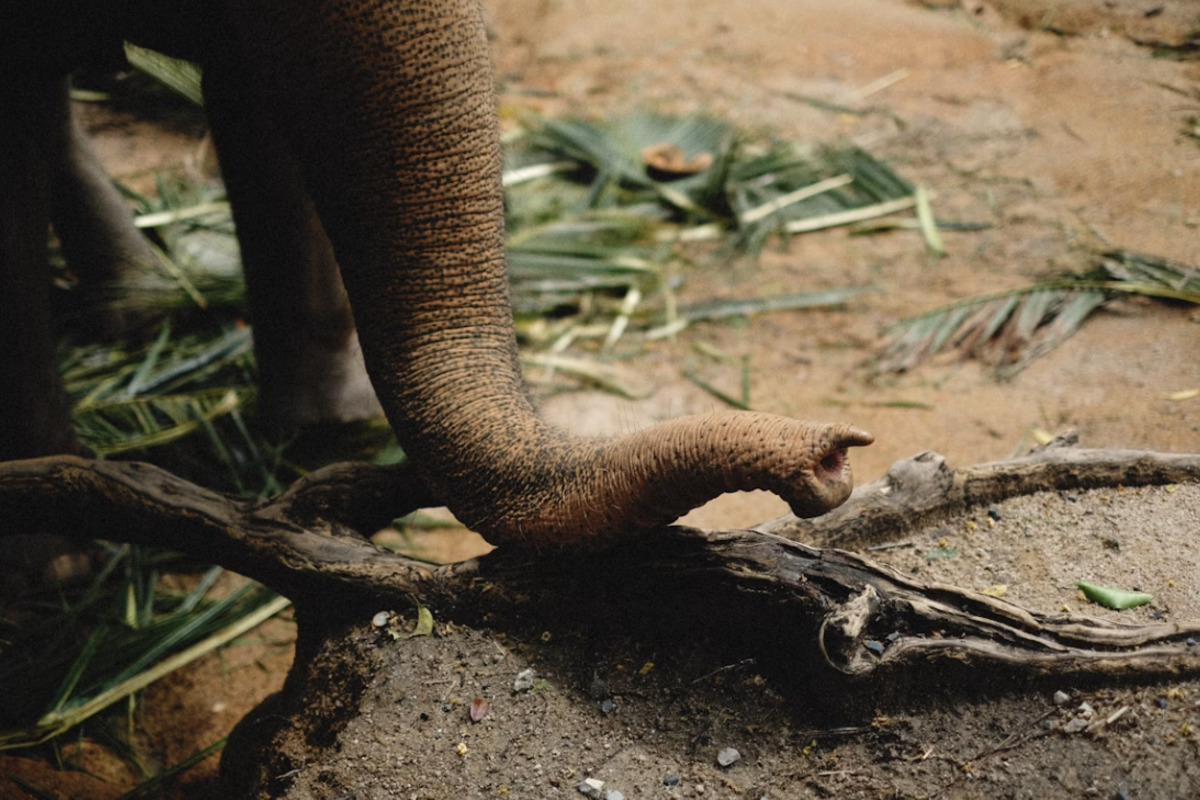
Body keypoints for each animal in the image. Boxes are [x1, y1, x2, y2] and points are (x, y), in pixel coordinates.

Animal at [0, 0, 873, 549]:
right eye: (838, 456)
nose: (832, 458)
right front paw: (56, 559)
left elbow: (260, 100)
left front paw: (328, 426)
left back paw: (139, 306)